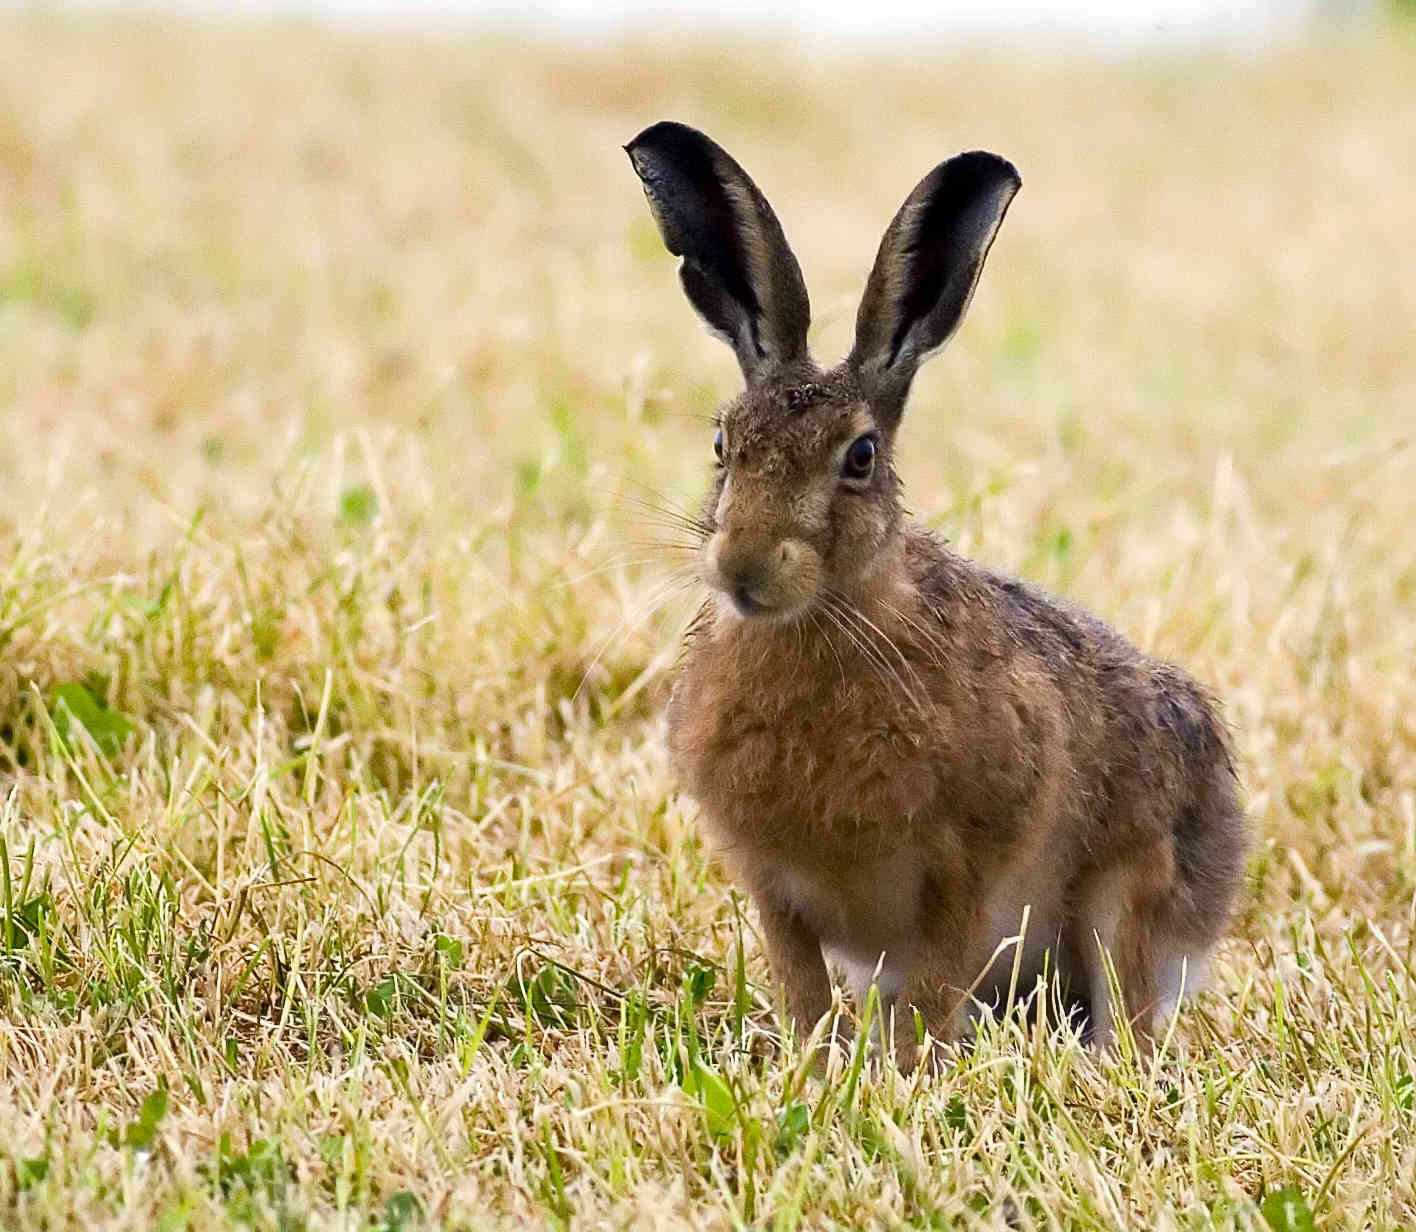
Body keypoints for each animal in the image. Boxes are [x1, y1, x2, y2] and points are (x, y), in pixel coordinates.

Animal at [625, 120, 1247, 1062]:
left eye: (861, 456)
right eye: (725, 444)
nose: (744, 566)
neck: (833, 618)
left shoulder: (970, 868)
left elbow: (932, 986)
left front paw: (902, 1073)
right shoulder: (772, 885)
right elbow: (803, 988)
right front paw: (815, 1067)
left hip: (1130, 897)